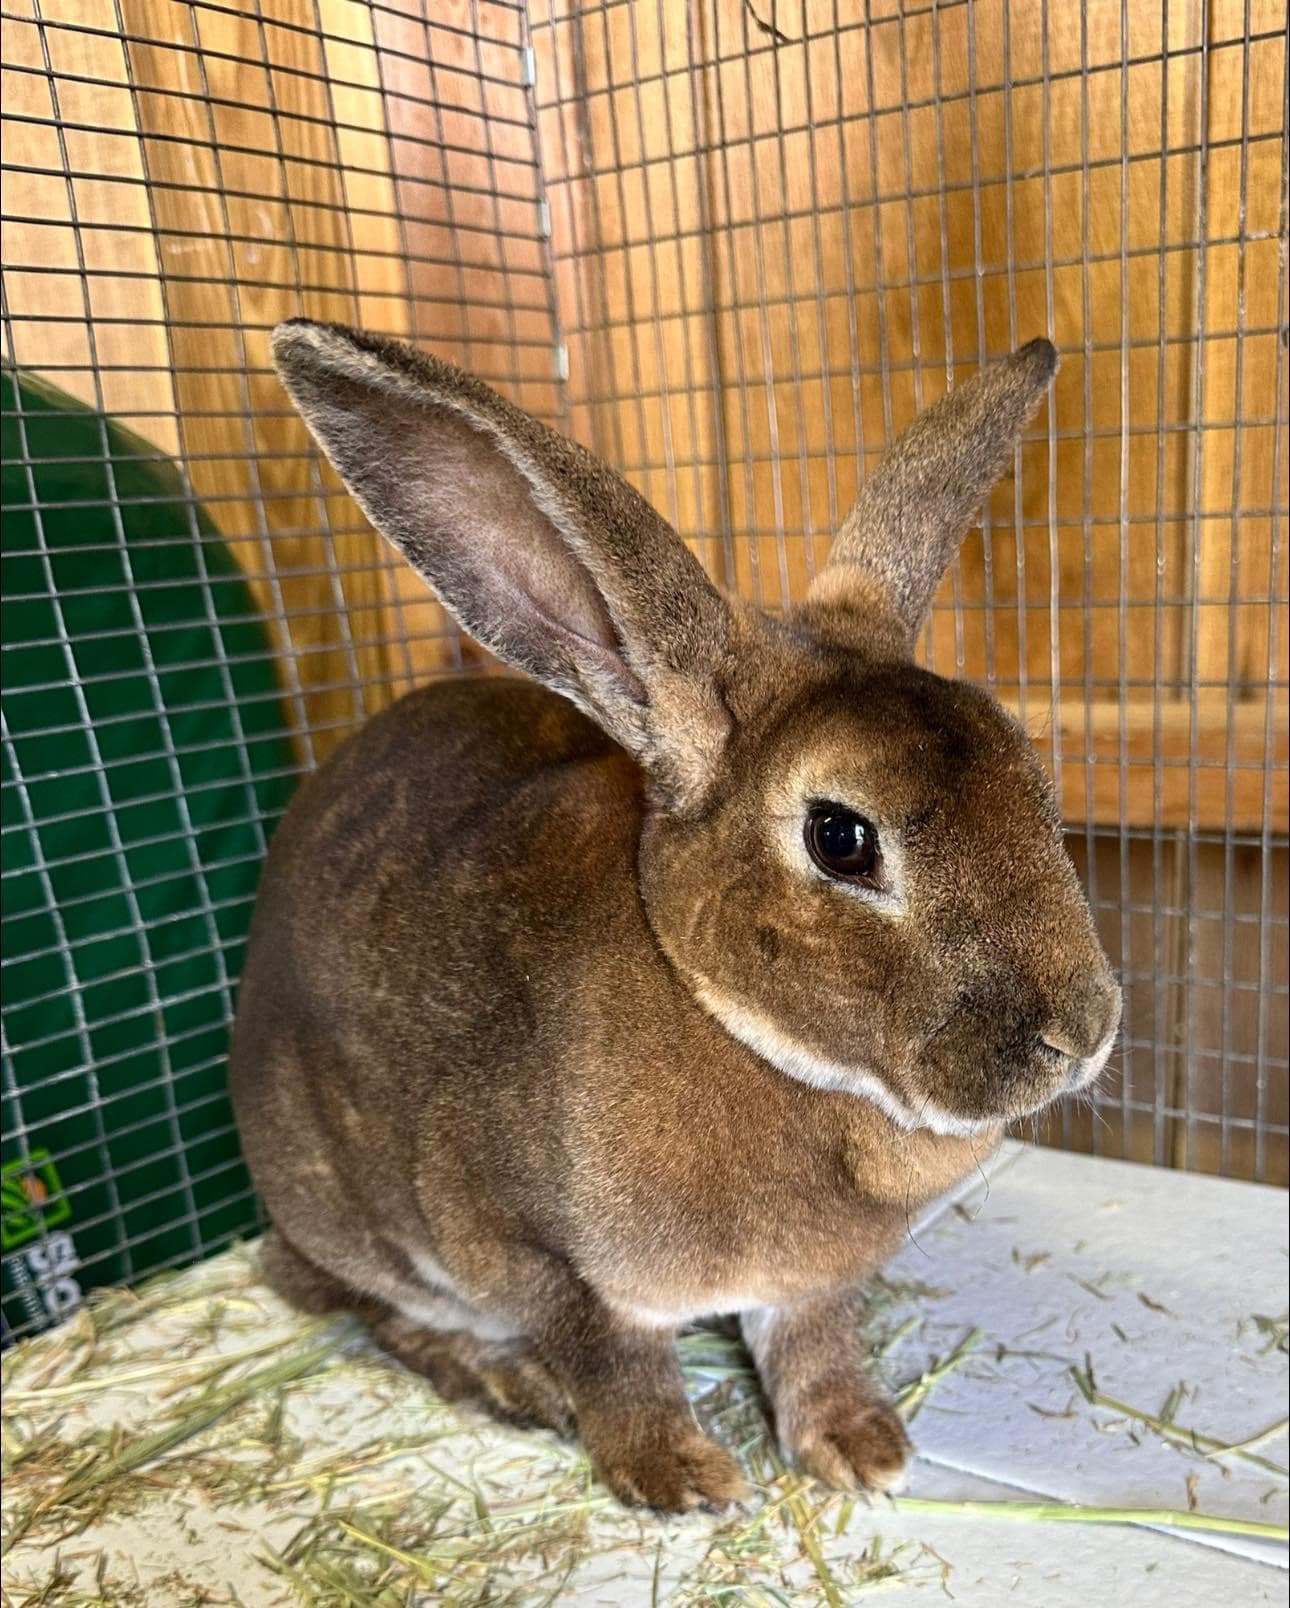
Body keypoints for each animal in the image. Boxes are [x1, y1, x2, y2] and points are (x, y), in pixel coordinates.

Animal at [229, 319, 1120, 1512]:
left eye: (1036, 779)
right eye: (842, 838)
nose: (1085, 1035)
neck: (729, 1020)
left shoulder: (810, 1286)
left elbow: (812, 1347)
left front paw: (860, 1450)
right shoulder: (541, 1257)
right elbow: (615, 1364)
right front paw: (681, 1477)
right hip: (345, 1216)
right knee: (342, 1296)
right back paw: (501, 1381)